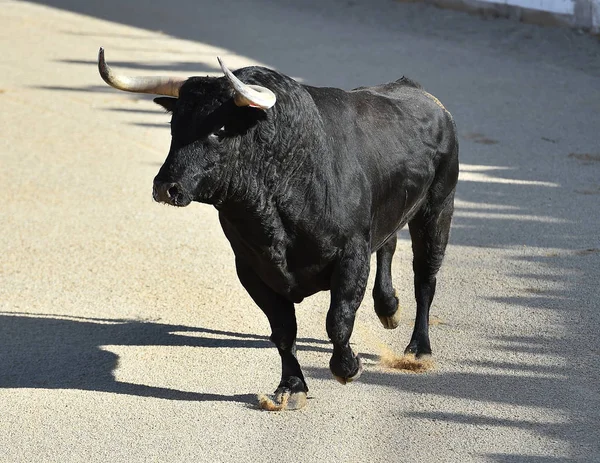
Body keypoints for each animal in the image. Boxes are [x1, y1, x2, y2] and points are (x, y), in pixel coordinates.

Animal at [99, 57, 460, 410]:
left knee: (425, 279)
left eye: (219, 129)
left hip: (438, 209)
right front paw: (291, 386)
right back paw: (389, 308)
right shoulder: (251, 269)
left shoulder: (351, 255)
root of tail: (429, 101)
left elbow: (338, 319)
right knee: (389, 243)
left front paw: (348, 368)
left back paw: (418, 349)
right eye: (174, 126)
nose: (165, 187)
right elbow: (283, 330)